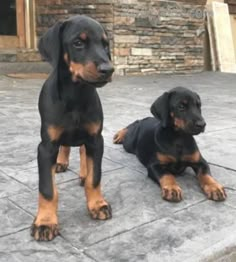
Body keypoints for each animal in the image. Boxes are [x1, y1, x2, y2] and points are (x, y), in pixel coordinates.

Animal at [30, 15, 114, 242]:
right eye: (78, 43)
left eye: (105, 45)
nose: (108, 69)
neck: (76, 94)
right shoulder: (46, 146)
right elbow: (47, 189)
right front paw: (45, 222)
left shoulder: (96, 139)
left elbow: (95, 177)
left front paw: (97, 204)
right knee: (65, 146)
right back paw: (60, 163)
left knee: (83, 151)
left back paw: (83, 173)